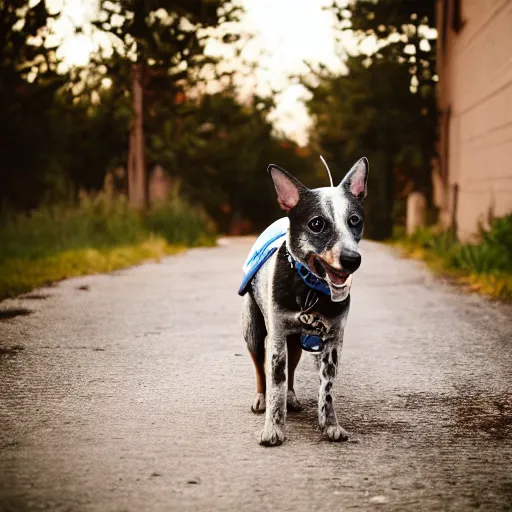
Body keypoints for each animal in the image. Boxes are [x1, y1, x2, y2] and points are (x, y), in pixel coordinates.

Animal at [238, 158, 370, 446]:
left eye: (354, 220)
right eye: (317, 224)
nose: (352, 259)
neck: (311, 289)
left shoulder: (333, 341)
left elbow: (327, 389)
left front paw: (330, 425)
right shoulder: (277, 338)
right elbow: (275, 383)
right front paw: (273, 429)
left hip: (297, 343)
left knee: (291, 372)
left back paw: (292, 397)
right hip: (253, 331)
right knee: (260, 369)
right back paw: (260, 398)